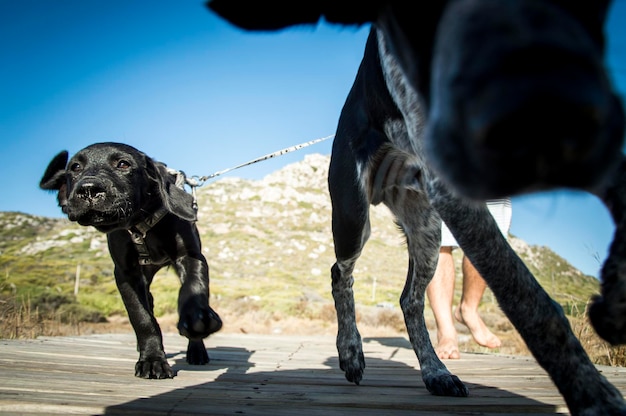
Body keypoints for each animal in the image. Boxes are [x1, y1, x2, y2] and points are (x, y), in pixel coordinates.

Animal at [39, 141, 222, 378]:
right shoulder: (126, 273)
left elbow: (192, 287)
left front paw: (197, 318)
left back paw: (197, 350)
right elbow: (141, 317)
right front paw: (152, 360)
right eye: (75, 167)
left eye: (123, 164)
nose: (88, 189)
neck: (141, 224)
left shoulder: (191, 256)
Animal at [207, 4, 624, 416]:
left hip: (427, 230)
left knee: (410, 298)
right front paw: (592, 395)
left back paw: (435, 371)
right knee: (340, 274)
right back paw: (351, 351)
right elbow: (529, 300)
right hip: (354, 219)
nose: (542, 111)